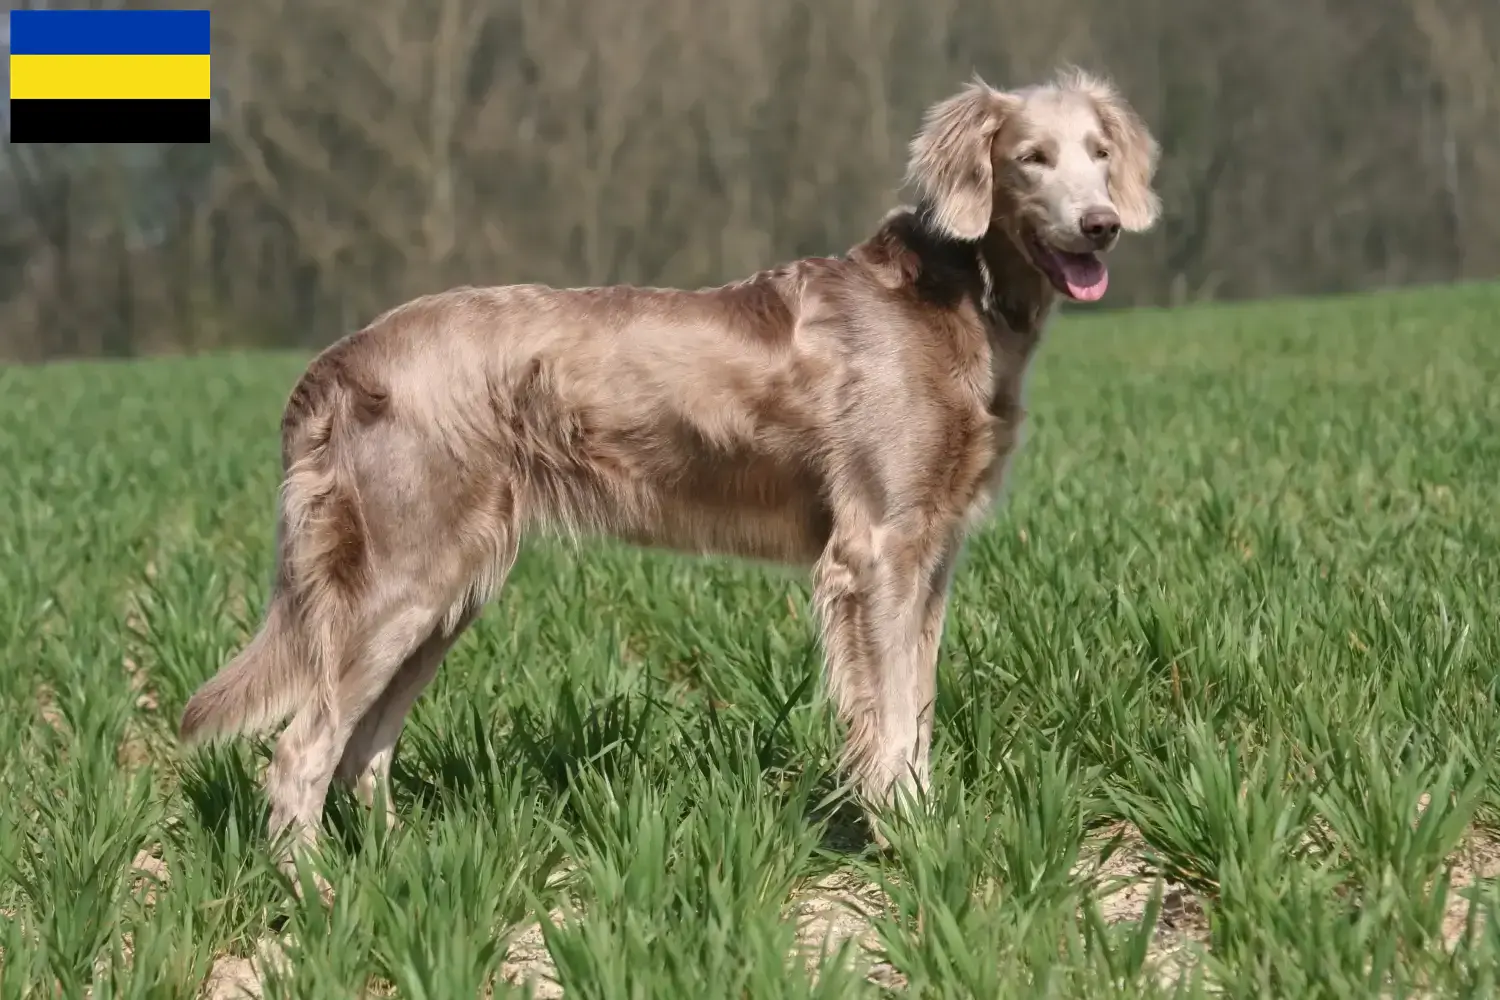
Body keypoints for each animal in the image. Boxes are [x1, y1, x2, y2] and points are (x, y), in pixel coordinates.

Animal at [175, 66, 1158, 857]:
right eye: (1031, 158)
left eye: (1099, 152)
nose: (1101, 225)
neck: (957, 296)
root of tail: (340, 360)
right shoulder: (877, 549)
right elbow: (886, 724)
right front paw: (911, 848)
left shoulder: (932, 552)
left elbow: (913, 713)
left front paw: (924, 831)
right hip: (401, 579)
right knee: (301, 753)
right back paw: (317, 905)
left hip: (447, 590)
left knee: (363, 752)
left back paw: (403, 883)